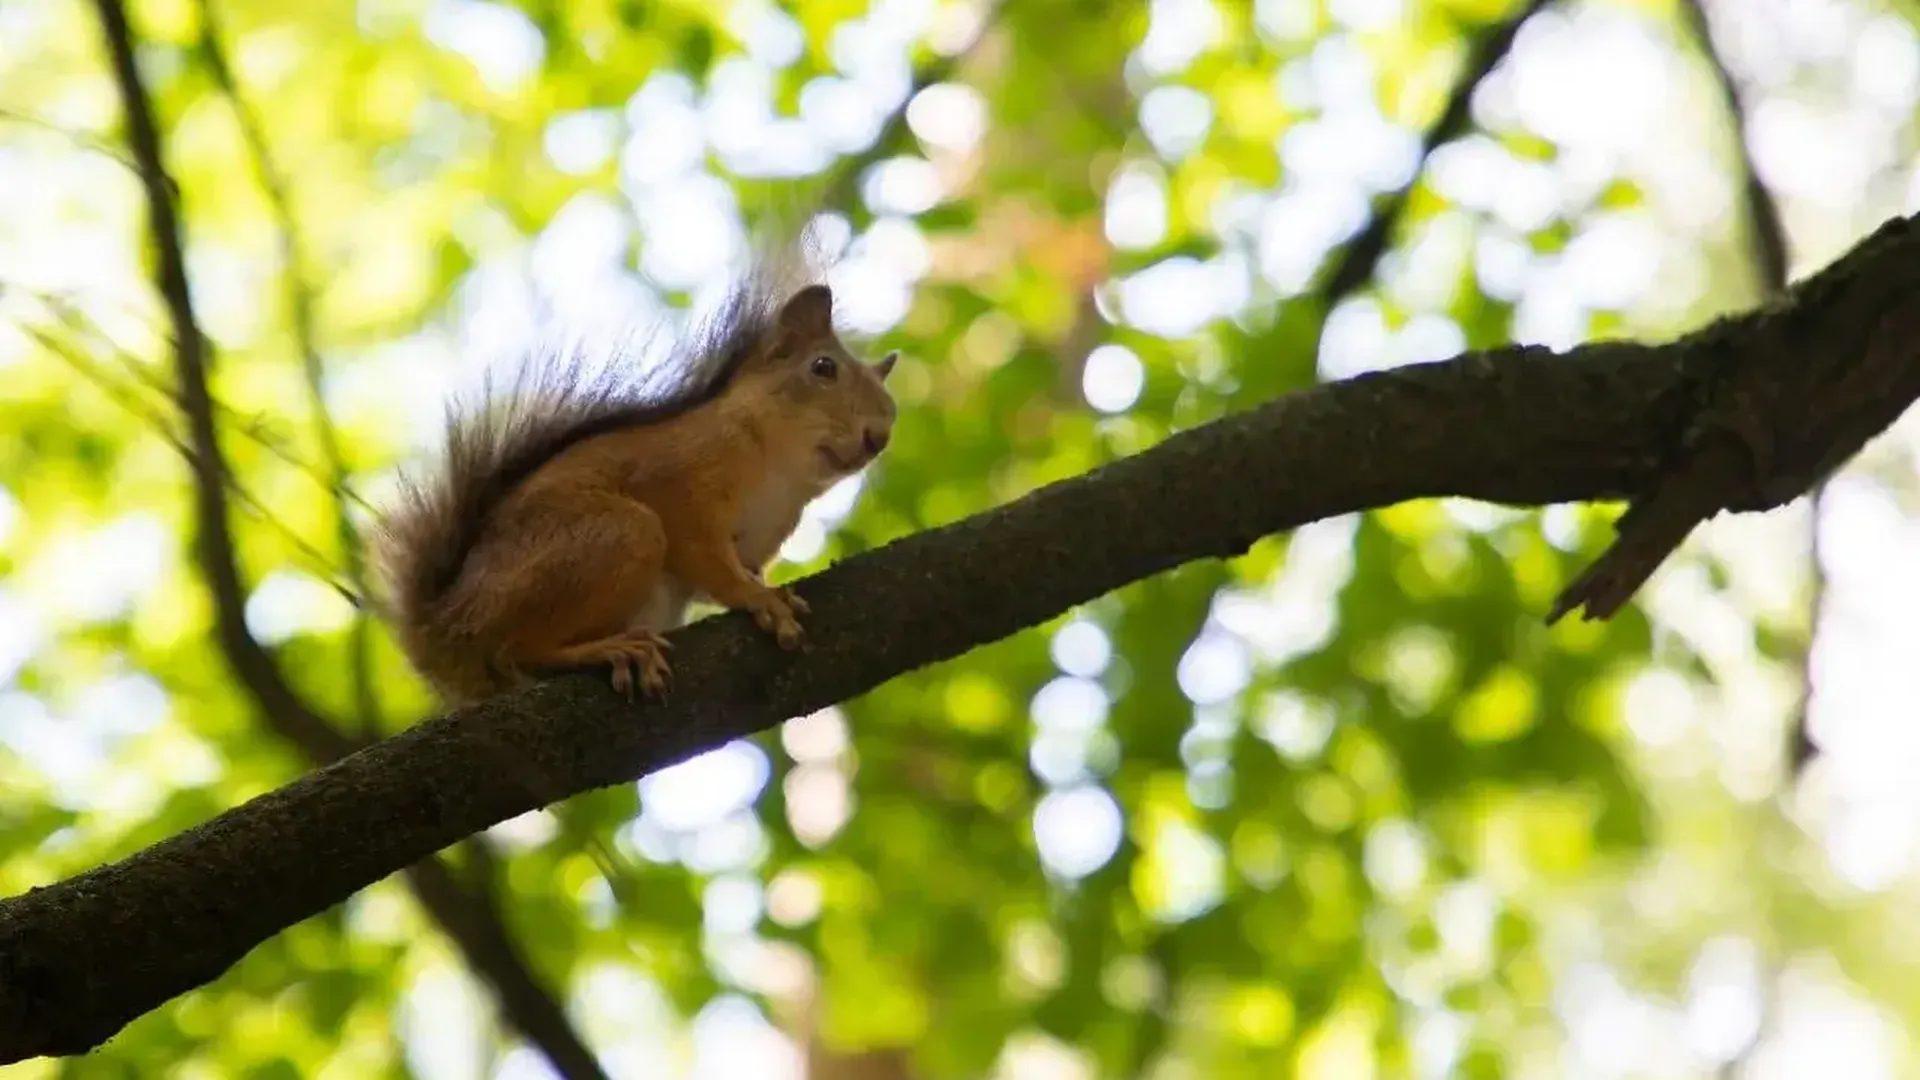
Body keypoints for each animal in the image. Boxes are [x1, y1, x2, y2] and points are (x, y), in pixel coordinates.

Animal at [372, 267, 898, 707]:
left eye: (891, 407)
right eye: (823, 368)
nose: (878, 437)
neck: (780, 472)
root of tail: (444, 632)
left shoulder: (755, 542)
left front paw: (765, 589)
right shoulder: (682, 485)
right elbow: (707, 561)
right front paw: (760, 600)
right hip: (617, 533)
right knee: (515, 650)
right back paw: (613, 649)